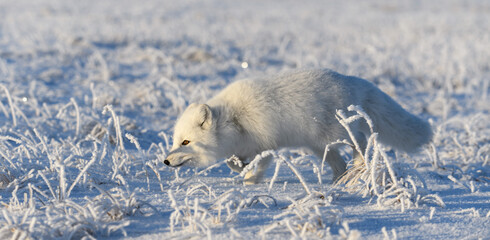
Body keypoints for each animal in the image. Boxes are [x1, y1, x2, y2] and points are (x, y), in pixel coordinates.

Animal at [165, 69, 432, 184]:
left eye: (186, 142)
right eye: (176, 140)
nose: (165, 161)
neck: (235, 119)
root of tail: (350, 80)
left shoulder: (267, 144)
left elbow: (259, 166)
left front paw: (250, 182)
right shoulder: (245, 147)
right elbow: (233, 162)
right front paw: (242, 170)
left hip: (334, 135)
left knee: (361, 141)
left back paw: (360, 165)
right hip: (318, 146)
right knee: (340, 164)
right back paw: (337, 182)